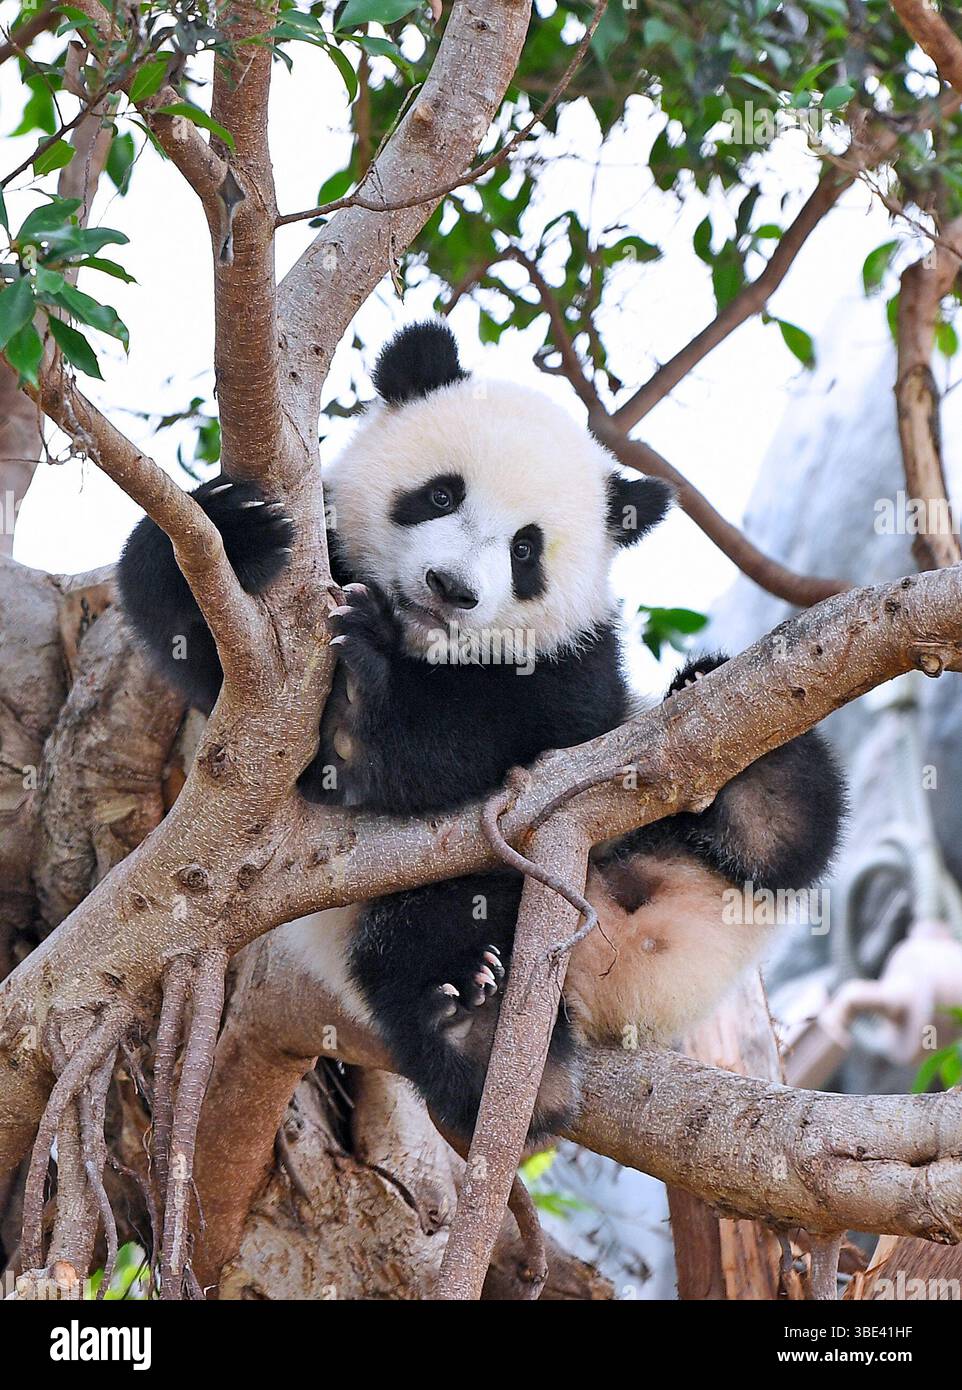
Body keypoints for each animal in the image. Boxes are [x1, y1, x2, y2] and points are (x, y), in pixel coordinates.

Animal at [118, 321, 844, 1143]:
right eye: (440, 494)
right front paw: (235, 528)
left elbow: (497, 736)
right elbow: (199, 641)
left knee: (787, 838)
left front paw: (365, 710)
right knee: (420, 943)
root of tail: (633, 974)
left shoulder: (578, 661)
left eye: (525, 549)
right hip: (410, 907)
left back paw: (758, 779)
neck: (427, 648)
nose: (452, 589)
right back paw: (478, 1021)